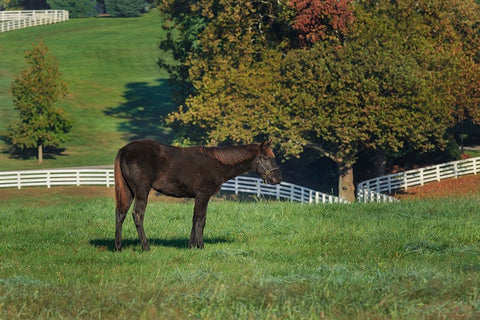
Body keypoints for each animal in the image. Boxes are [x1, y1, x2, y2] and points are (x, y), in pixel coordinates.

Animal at [114, 139, 282, 250]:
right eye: (267, 158)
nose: (277, 178)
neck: (217, 163)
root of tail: (124, 150)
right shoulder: (203, 194)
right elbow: (201, 219)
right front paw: (200, 245)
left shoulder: (199, 197)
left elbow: (196, 218)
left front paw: (191, 245)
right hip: (141, 191)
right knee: (138, 214)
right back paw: (146, 246)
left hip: (129, 191)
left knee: (120, 213)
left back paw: (118, 247)